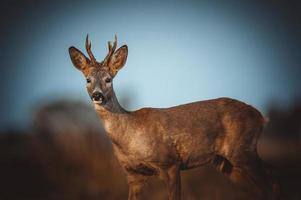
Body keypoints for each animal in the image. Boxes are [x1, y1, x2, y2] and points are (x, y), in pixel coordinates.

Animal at [69, 35, 276, 199]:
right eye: (88, 79)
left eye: (108, 79)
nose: (97, 95)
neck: (129, 137)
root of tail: (260, 116)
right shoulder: (133, 174)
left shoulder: (170, 163)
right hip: (226, 162)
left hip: (242, 149)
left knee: (271, 181)